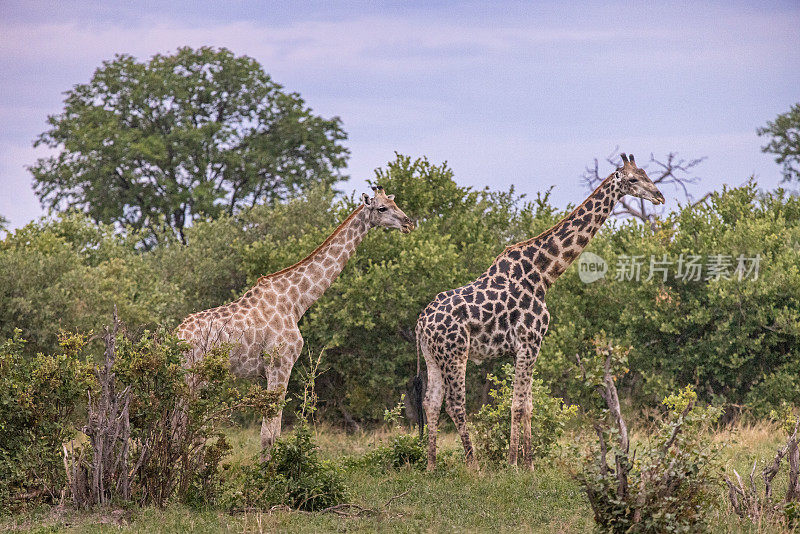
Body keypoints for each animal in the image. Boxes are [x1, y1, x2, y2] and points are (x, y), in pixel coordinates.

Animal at [175, 186, 412, 454]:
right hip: (193, 376)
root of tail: (174, 336)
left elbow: (271, 432)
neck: (296, 301)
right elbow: (269, 435)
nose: (408, 223)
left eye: (394, 203)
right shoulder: (280, 363)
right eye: (382, 208)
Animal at [416, 153, 664, 472]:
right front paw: (513, 464)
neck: (543, 274)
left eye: (646, 174)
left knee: (431, 402)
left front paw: (530, 464)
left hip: (433, 357)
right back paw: (474, 466)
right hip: (456, 353)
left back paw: (431, 465)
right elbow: (518, 404)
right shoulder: (528, 342)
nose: (659, 196)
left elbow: (529, 405)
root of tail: (421, 324)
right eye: (633, 179)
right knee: (455, 404)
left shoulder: (530, 347)